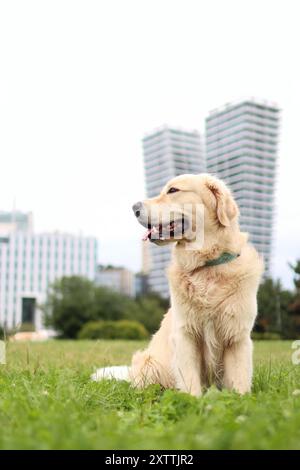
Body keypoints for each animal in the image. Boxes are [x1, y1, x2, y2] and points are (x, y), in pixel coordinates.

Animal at [128, 173, 262, 392]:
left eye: (173, 190)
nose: (134, 207)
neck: (206, 264)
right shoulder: (185, 334)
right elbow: (190, 381)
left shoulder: (237, 337)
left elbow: (240, 380)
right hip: (149, 363)